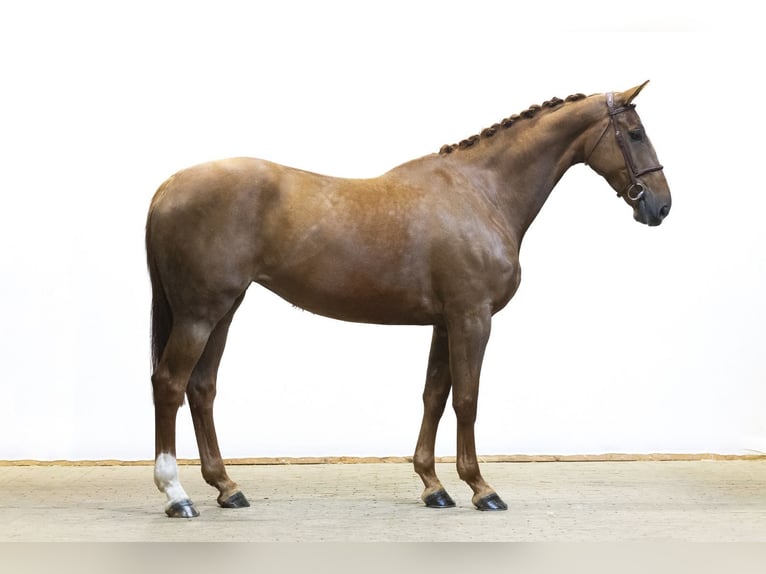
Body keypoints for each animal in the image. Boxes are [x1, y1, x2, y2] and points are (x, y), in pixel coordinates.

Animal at [145, 81, 670, 518]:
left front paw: (434, 487)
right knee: (170, 384)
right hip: (199, 314)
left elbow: (434, 395)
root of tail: (167, 187)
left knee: (202, 388)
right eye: (635, 133)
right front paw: (481, 488)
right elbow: (467, 399)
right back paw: (176, 495)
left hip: (223, 311)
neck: (481, 192)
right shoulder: (472, 318)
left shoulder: (444, 322)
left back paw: (227, 488)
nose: (660, 205)